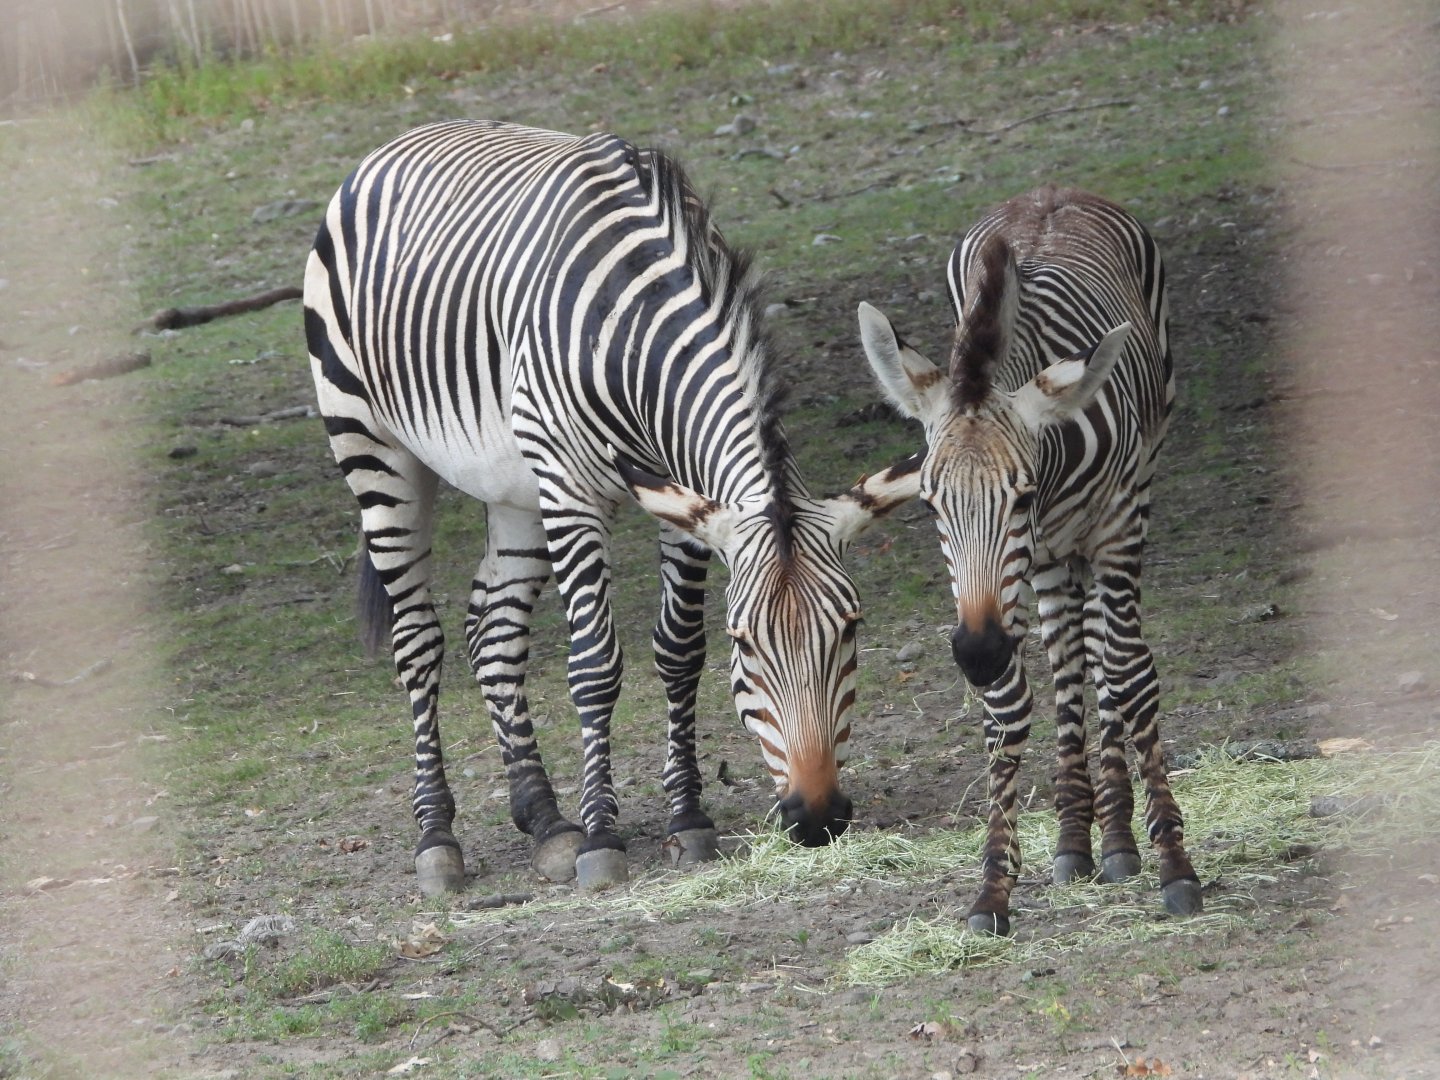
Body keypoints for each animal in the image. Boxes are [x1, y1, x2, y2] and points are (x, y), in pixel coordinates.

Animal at [303, 120, 920, 895]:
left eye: (850, 629)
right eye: (746, 643)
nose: (817, 819)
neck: (633, 322)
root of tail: (398, 142)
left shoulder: (684, 504)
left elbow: (679, 650)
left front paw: (687, 819)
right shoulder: (571, 492)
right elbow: (595, 662)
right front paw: (602, 837)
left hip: (514, 485)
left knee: (493, 630)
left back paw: (544, 820)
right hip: (372, 447)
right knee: (419, 640)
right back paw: (438, 838)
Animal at [856, 186, 1202, 934]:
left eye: (1022, 494)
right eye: (930, 504)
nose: (977, 653)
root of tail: (1053, 192)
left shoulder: (1114, 531)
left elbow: (1129, 677)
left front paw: (1176, 866)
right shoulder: (1004, 579)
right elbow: (1010, 708)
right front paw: (994, 888)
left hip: (1127, 506)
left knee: (1108, 656)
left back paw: (1121, 838)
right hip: (1047, 566)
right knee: (1071, 656)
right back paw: (1084, 838)